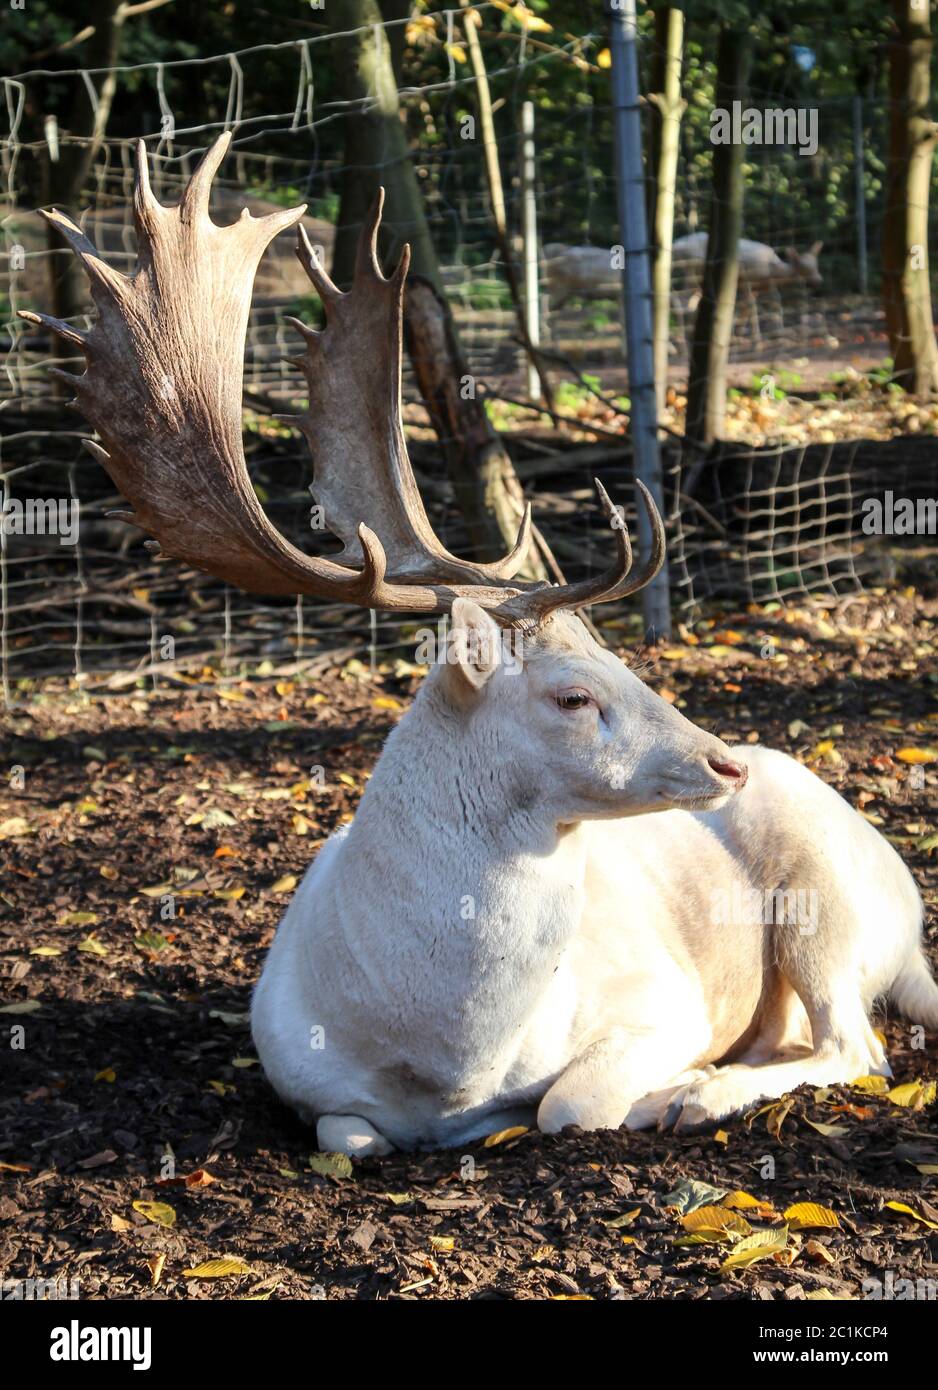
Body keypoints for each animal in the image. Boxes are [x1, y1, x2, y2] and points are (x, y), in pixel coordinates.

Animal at [25, 135, 933, 1156]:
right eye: (573, 693)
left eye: (623, 662)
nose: (724, 763)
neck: (451, 1059)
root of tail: (911, 913)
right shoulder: (298, 1074)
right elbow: (351, 1134)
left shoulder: (663, 1001)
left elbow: (569, 1103)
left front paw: (670, 1086)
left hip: (826, 898)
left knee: (860, 1044)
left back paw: (703, 1092)